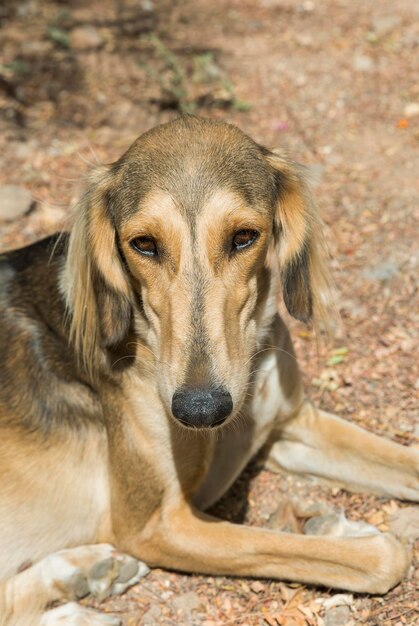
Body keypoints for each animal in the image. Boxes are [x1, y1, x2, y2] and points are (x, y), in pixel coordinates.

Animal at [0, 114, 418, 620]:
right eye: (144, 244)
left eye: (244, 237)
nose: (201, 411)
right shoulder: (157, 524)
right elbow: (380, 556)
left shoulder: (292, 425)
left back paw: (81, 573)